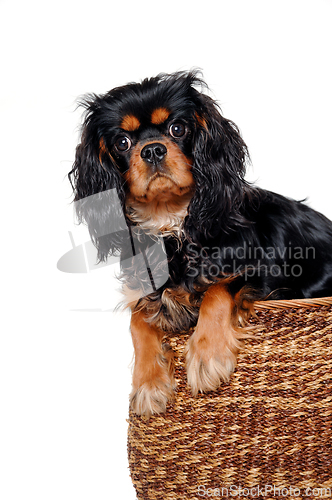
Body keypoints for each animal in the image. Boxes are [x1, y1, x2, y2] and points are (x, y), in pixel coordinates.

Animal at [68, 69, 332, 414]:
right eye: (122, 143)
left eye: (177, 128)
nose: (153, 150)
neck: (172, 222)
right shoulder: (145, 291)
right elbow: (137, 321)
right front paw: (148, 384)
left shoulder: (266, 276)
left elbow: (217, 291)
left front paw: (208, 357)